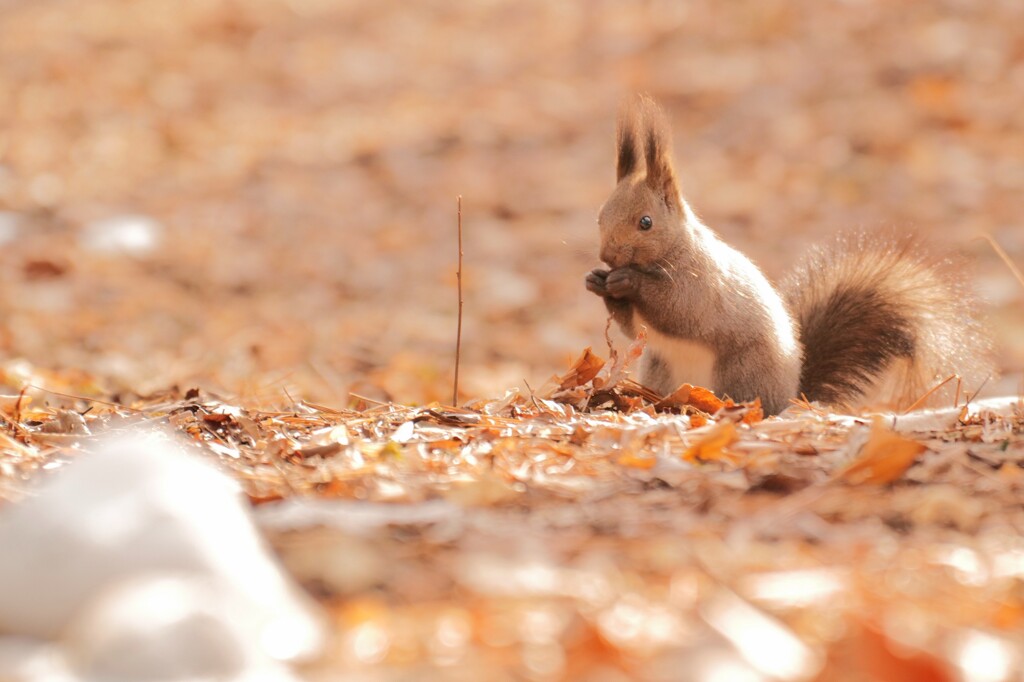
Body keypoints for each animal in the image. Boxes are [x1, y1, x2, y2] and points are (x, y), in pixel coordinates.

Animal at [585, 94, 991, 413]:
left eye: (646, 222)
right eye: (599, 216)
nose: (608, 256)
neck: (674, 250)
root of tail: (792, 395)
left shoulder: (702, 284)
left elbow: (678, 310)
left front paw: (628, 280)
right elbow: (631, 327)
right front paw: (597, 281)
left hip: (741, 374)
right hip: (659, 368)